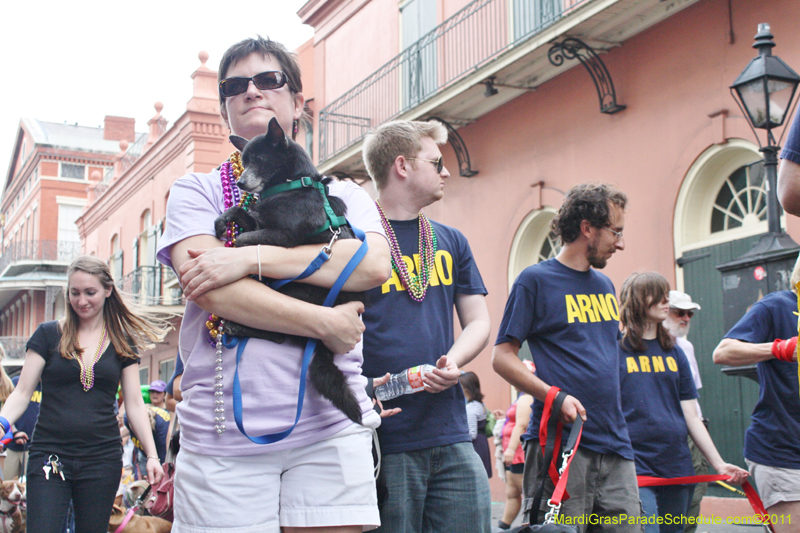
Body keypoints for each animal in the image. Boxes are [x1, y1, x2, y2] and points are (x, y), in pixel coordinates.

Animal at [212, 117, 362, 424]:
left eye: (259, 159)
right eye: (244, 161)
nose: (241, 182)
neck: (291, 186)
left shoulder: (284, 237)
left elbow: (244, 241)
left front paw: (233, 254)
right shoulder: (261, 222)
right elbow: (239, 212)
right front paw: (223, 220)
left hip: (292, 292)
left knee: (280, 332)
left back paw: (238, 325)